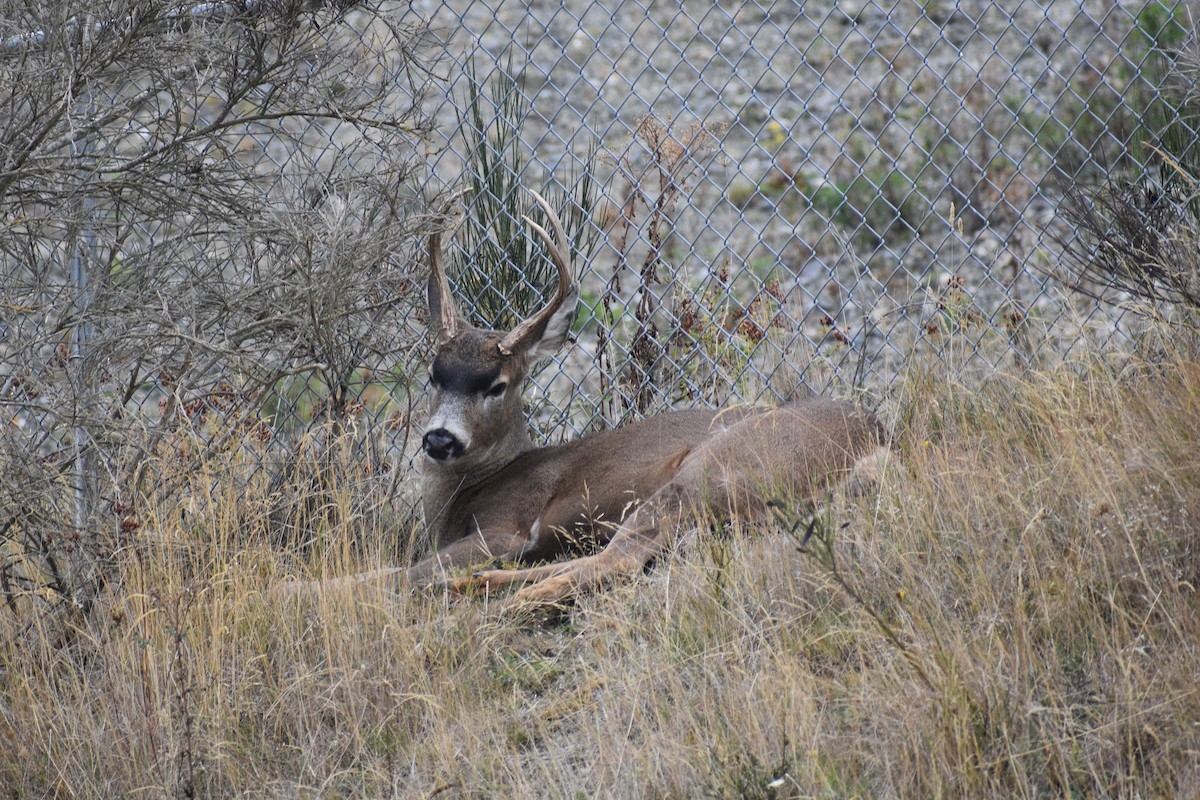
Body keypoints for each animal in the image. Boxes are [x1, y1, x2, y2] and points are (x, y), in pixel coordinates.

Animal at [320, 190, 887, 613]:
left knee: (618, 561)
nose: (439, 439)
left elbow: (397, 574)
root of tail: (878, 441)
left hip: (715, 468)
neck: (465, 495)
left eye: (497, 385)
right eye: (433, 375)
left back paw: (493, 607)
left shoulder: (507, 527)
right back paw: (476, 588)